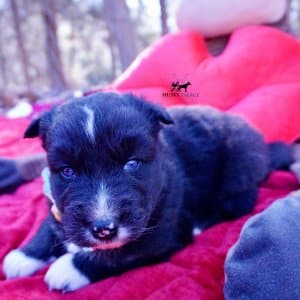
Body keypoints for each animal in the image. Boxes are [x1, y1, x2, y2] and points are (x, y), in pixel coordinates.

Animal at [2, 92, 292, 292]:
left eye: (132, 163)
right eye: (67, 171)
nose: (103, 228)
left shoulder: (157, 237)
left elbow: (119, 255)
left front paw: (68, 268)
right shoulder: (58, 201)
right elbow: (50, 222)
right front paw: (25, 255)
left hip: (237, 172)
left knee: (237, 203)